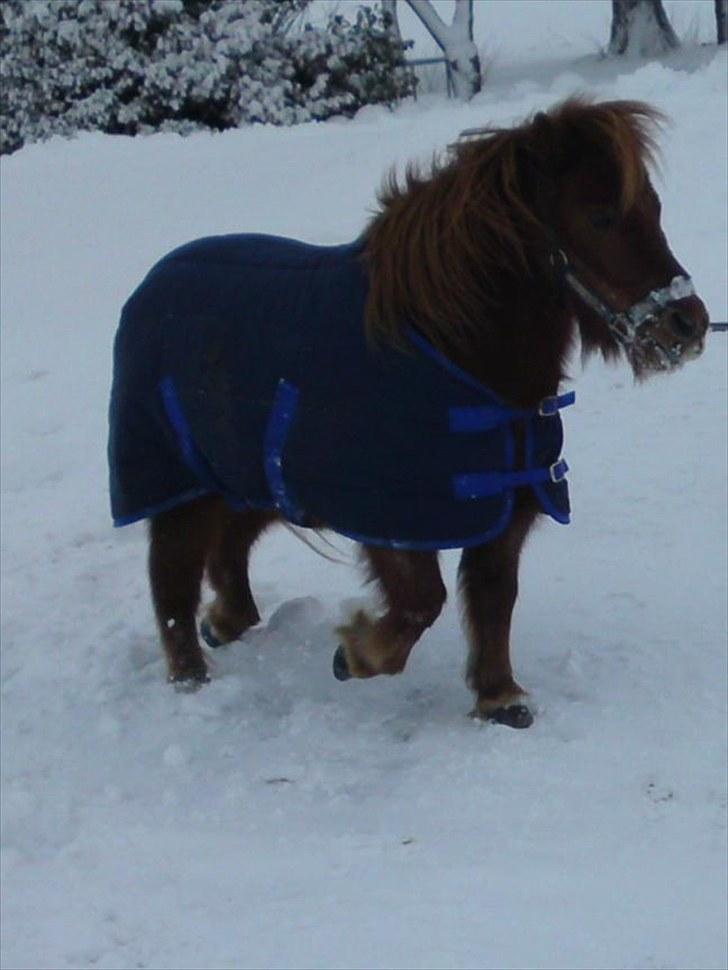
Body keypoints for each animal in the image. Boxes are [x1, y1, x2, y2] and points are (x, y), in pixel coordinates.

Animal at [109, 97, 709, 729]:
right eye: (599, 217)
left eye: (653, 208)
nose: (688, 324)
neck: (453, 351)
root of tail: (154, 280)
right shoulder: (390, 518)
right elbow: (424, 602)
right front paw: (356, 653)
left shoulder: (505, 504)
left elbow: (493, 597)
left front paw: (499, 696)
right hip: (179, 486)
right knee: (171, 582)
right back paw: (190, 680)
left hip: (257, 479)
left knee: (228, 547)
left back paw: (227, 621)